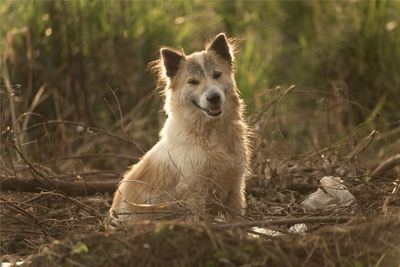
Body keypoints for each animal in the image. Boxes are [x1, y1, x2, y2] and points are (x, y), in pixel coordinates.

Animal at [106, 33, 250, 230]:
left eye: (217, 75)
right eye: (193, 82)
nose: (214, 98)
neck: (210, 132)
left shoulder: (235, 187)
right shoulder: (194, 192)